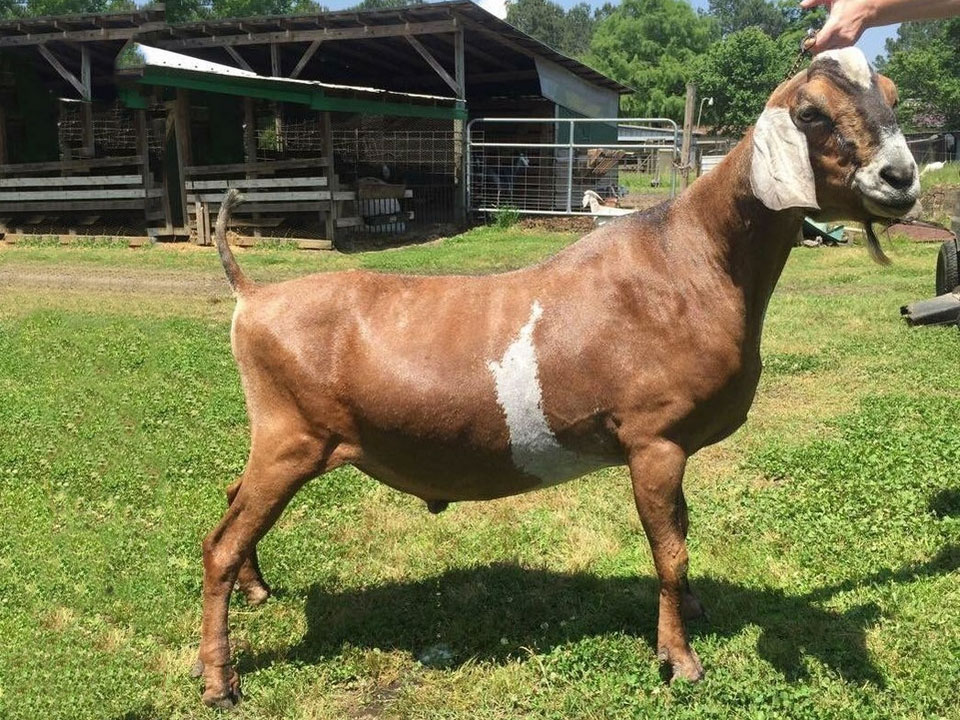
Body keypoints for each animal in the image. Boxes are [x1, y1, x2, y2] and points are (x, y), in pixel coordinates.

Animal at [195, 50, 924, 708]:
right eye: (811, 112)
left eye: (892, 93)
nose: (901, 178)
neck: (693, 262)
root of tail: (253, 296)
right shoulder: (653, 440)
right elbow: (670, 551)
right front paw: (680, 659)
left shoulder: (676, 445)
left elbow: (682, 532)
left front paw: (693, 612)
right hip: (292, 436)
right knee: (219, 544)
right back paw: (218, 680)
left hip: (282, 440)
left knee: (233, 500)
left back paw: (257, 592)